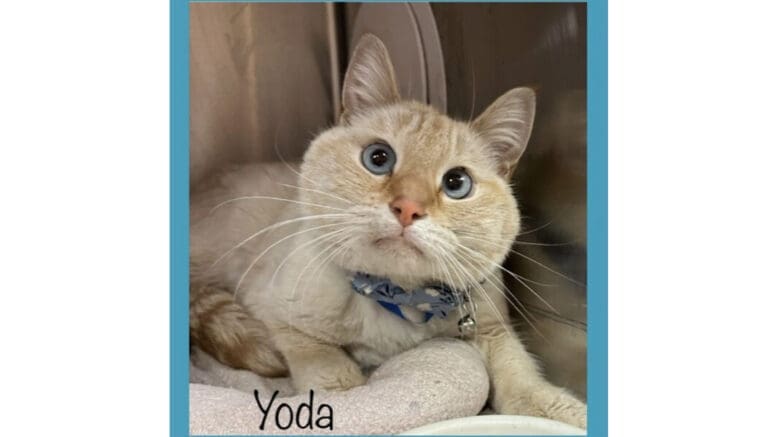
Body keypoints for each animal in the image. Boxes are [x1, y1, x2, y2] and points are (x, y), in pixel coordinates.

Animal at [189, 35, 584, 430]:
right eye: (378, 158)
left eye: (457, 183)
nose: (408, 208)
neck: (399, 298)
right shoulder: (276, 315)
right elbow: (332, 372)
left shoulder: (492, 329)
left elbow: (521, 377)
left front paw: (562, 411)